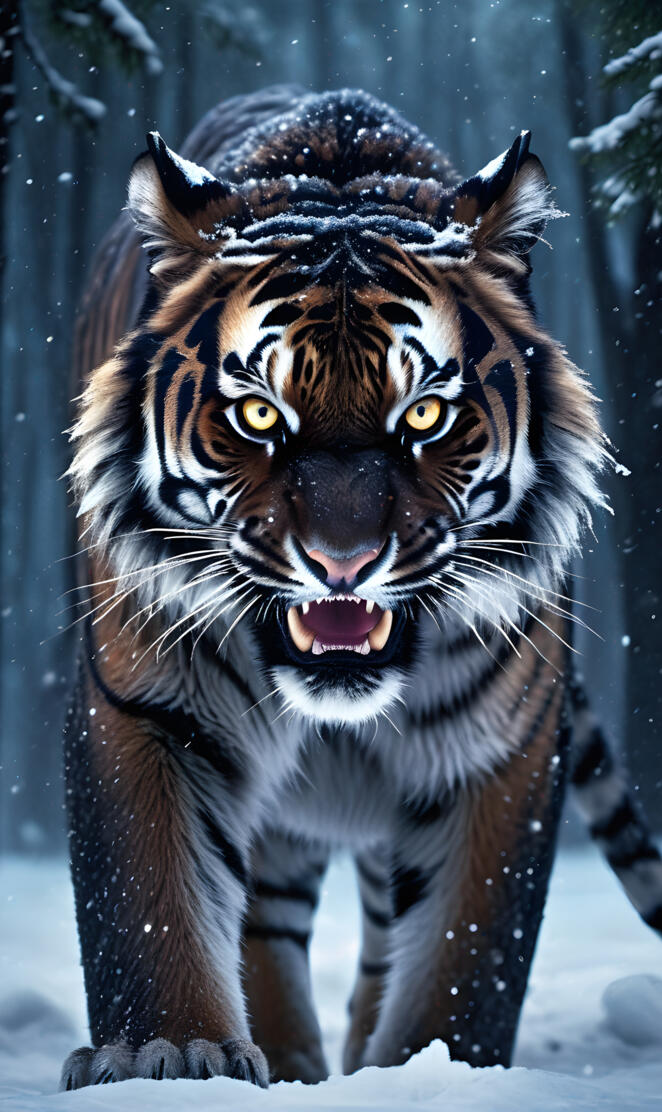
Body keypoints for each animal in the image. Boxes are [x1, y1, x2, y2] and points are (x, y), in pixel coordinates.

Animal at [61, 86, 662, 1090]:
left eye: (425, 415)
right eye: (256, 414)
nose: (342, 562)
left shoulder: (499, 748)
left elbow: (465, 957)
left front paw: (441, 1070)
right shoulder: (150, 706)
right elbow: (149, 898)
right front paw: (170, 1057)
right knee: (263, 922)